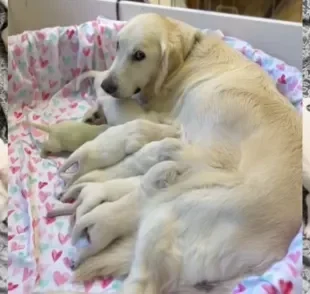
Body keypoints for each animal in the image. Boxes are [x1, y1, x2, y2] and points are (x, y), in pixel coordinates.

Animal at [69, 14, 300, 294]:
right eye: (117, 46)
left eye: (139, 55)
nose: (107, 85)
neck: (190, 55)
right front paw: (93, 111)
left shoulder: (158, 117)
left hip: (169, 214)